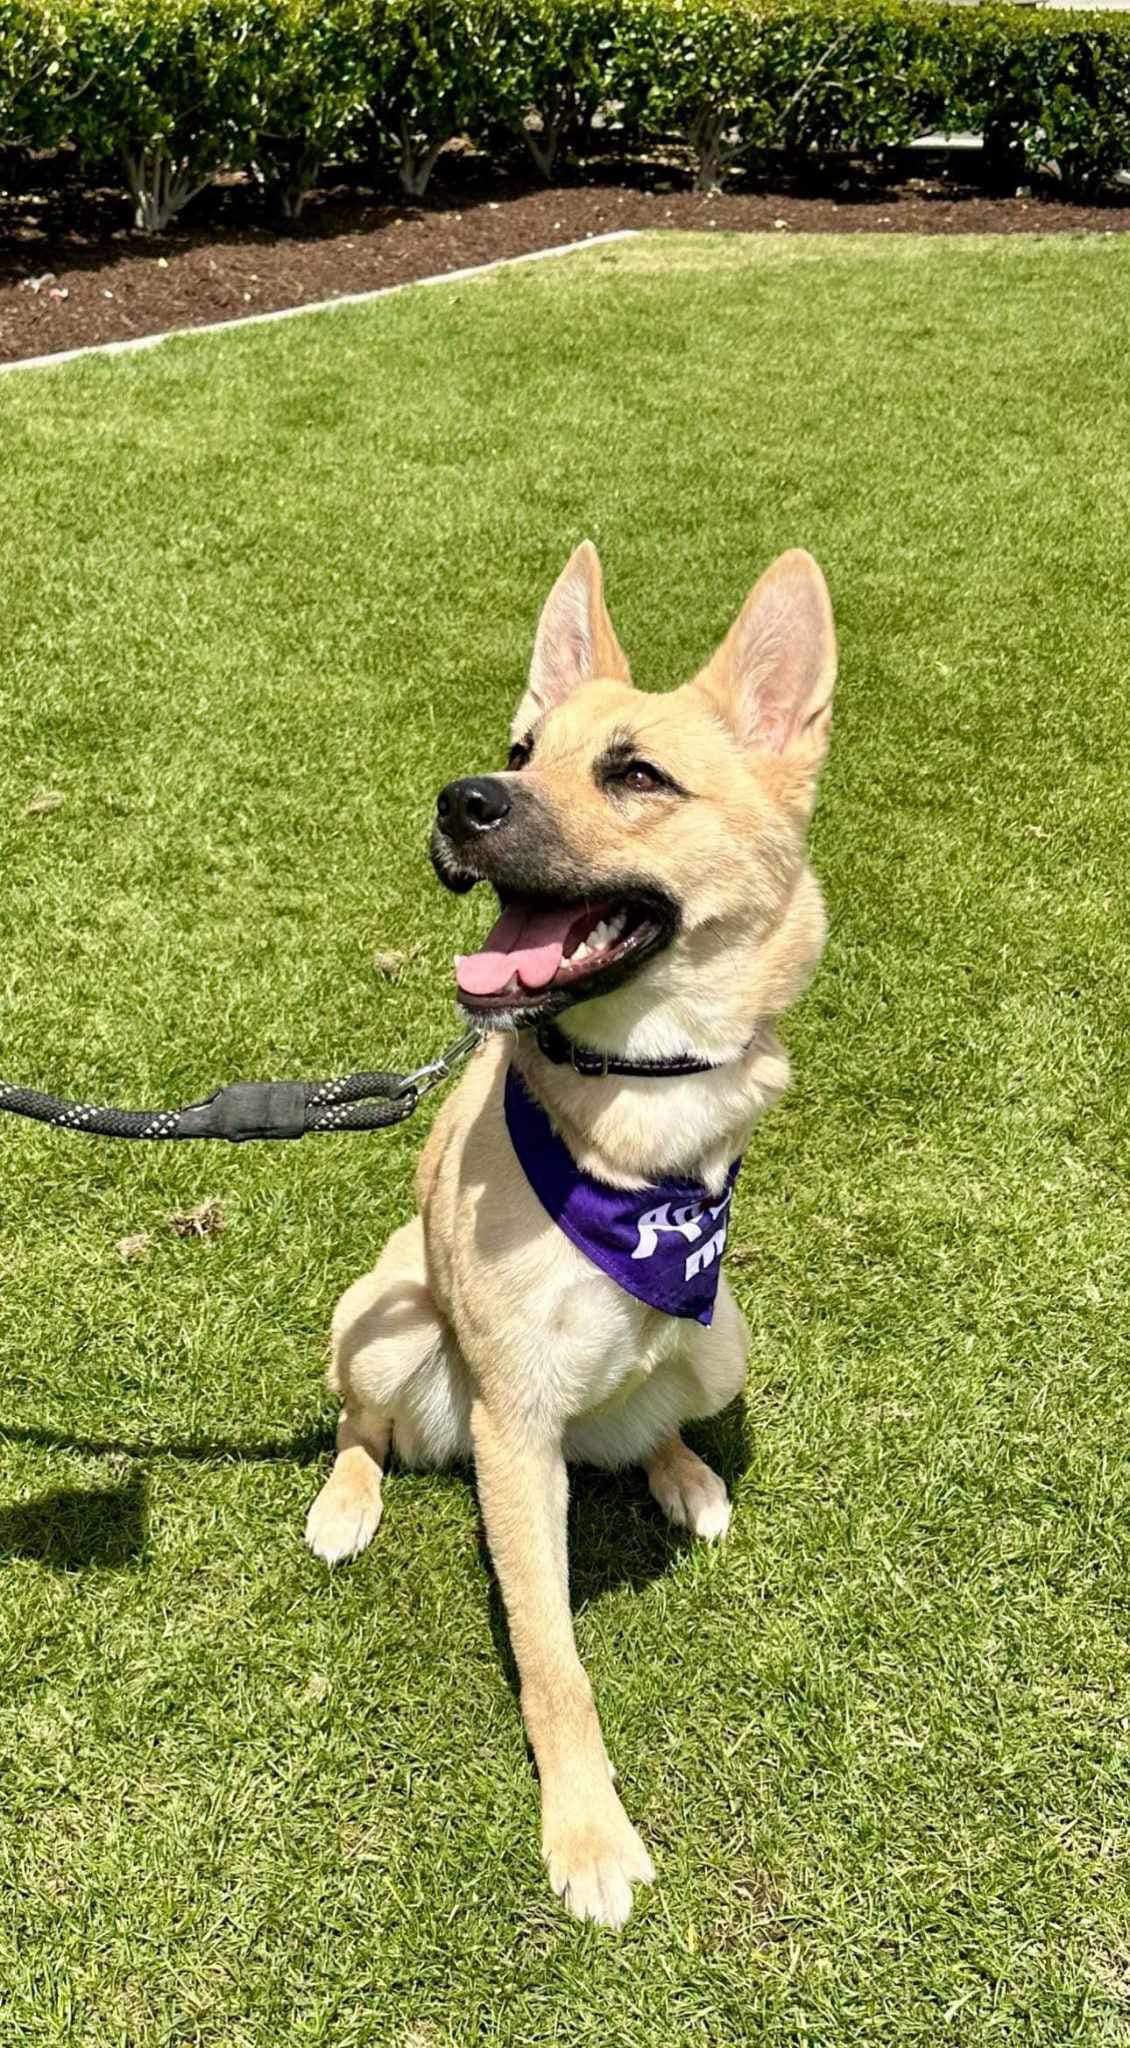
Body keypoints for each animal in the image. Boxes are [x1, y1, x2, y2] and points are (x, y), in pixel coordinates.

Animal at [305, 540, 835, 1916]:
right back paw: (345, 1498)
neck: (630, 1101)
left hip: (723, 1342)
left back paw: (682, 1471)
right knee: (361, 1422)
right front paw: (587, 1833)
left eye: (634, 773)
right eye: (520, 746)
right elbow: (554, 1664)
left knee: (653, 1416)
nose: (462, 800)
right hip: (383, 1317)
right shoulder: (514, 1424)